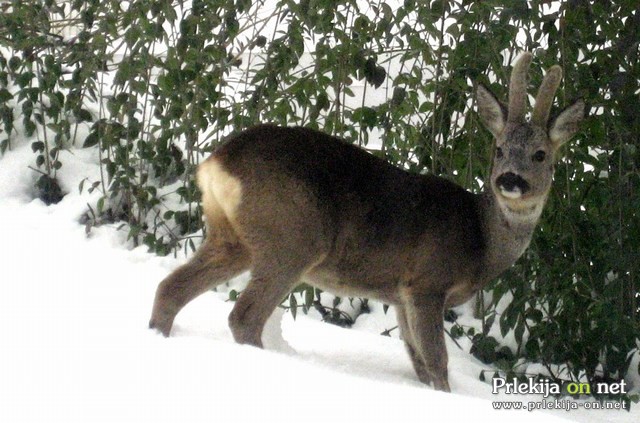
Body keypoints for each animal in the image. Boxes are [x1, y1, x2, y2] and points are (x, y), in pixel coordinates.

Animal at [151, 53, 584, 394]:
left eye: (541, 154)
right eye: (499, 149)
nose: (510, 180)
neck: (481, 239)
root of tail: (217, 162)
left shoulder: (400, 296)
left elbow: (421, 365)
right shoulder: (427, 282)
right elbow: (438, 364)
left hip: (231, 237)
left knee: (171, 287)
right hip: (290, 239)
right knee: (243, 315)